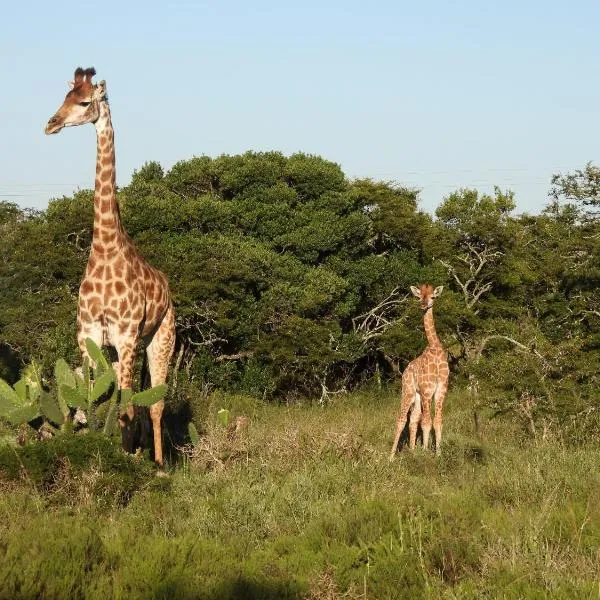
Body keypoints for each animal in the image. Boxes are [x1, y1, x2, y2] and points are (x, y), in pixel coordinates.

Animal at [46, 68, 173, 466]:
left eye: (85, 102)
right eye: (65, 97)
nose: (51, 124)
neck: (104, 249)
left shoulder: (127, 335)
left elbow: (126, 408)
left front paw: (128, 460)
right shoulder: (88, 336)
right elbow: (91, 400)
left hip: (160, 338)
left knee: (155, 404)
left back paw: (158, 464)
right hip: (124, 350)